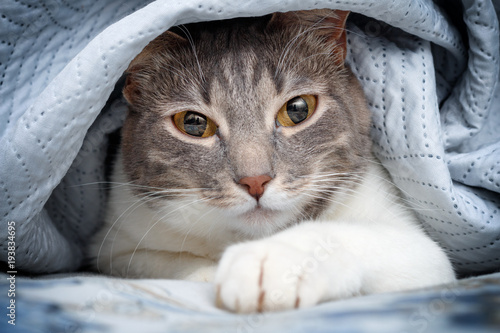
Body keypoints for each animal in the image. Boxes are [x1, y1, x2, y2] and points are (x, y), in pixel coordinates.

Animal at [88, 9, 456, 312]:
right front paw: (209, 272)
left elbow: (359, 239)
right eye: (192, 123)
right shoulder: (116, 238)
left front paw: (273, 261)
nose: (255, 180)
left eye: (298, 109)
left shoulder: (418, 248)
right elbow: (160, 262)